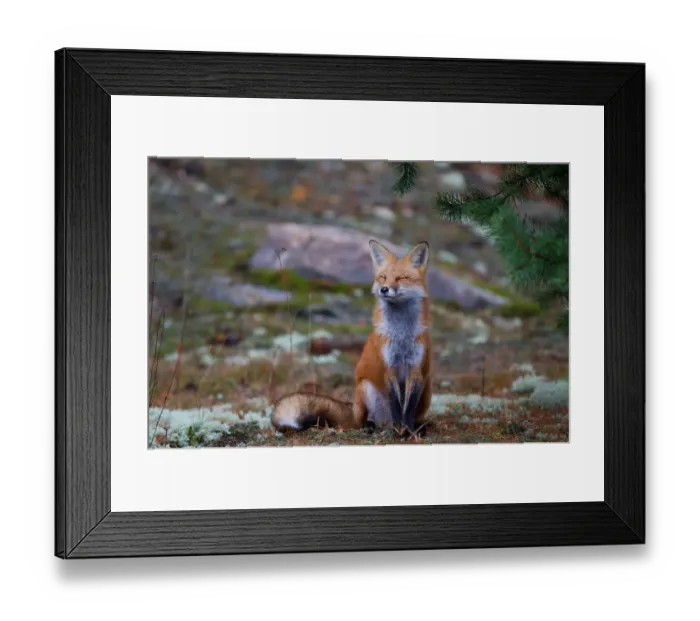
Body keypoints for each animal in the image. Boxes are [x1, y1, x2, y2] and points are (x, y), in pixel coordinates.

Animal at [271, 239, 432, 437]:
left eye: (401, 278)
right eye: (383, 277)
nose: (384, 289)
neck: (401, 334)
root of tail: (353, 409)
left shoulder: (415, 368)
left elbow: (407, 410)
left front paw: (408, 431)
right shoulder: (390, 367)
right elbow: (397, 407)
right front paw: (399, 432)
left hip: (426, 392)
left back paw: (419, 426)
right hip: (365, 388)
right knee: (365, 421)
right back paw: (372, 426)